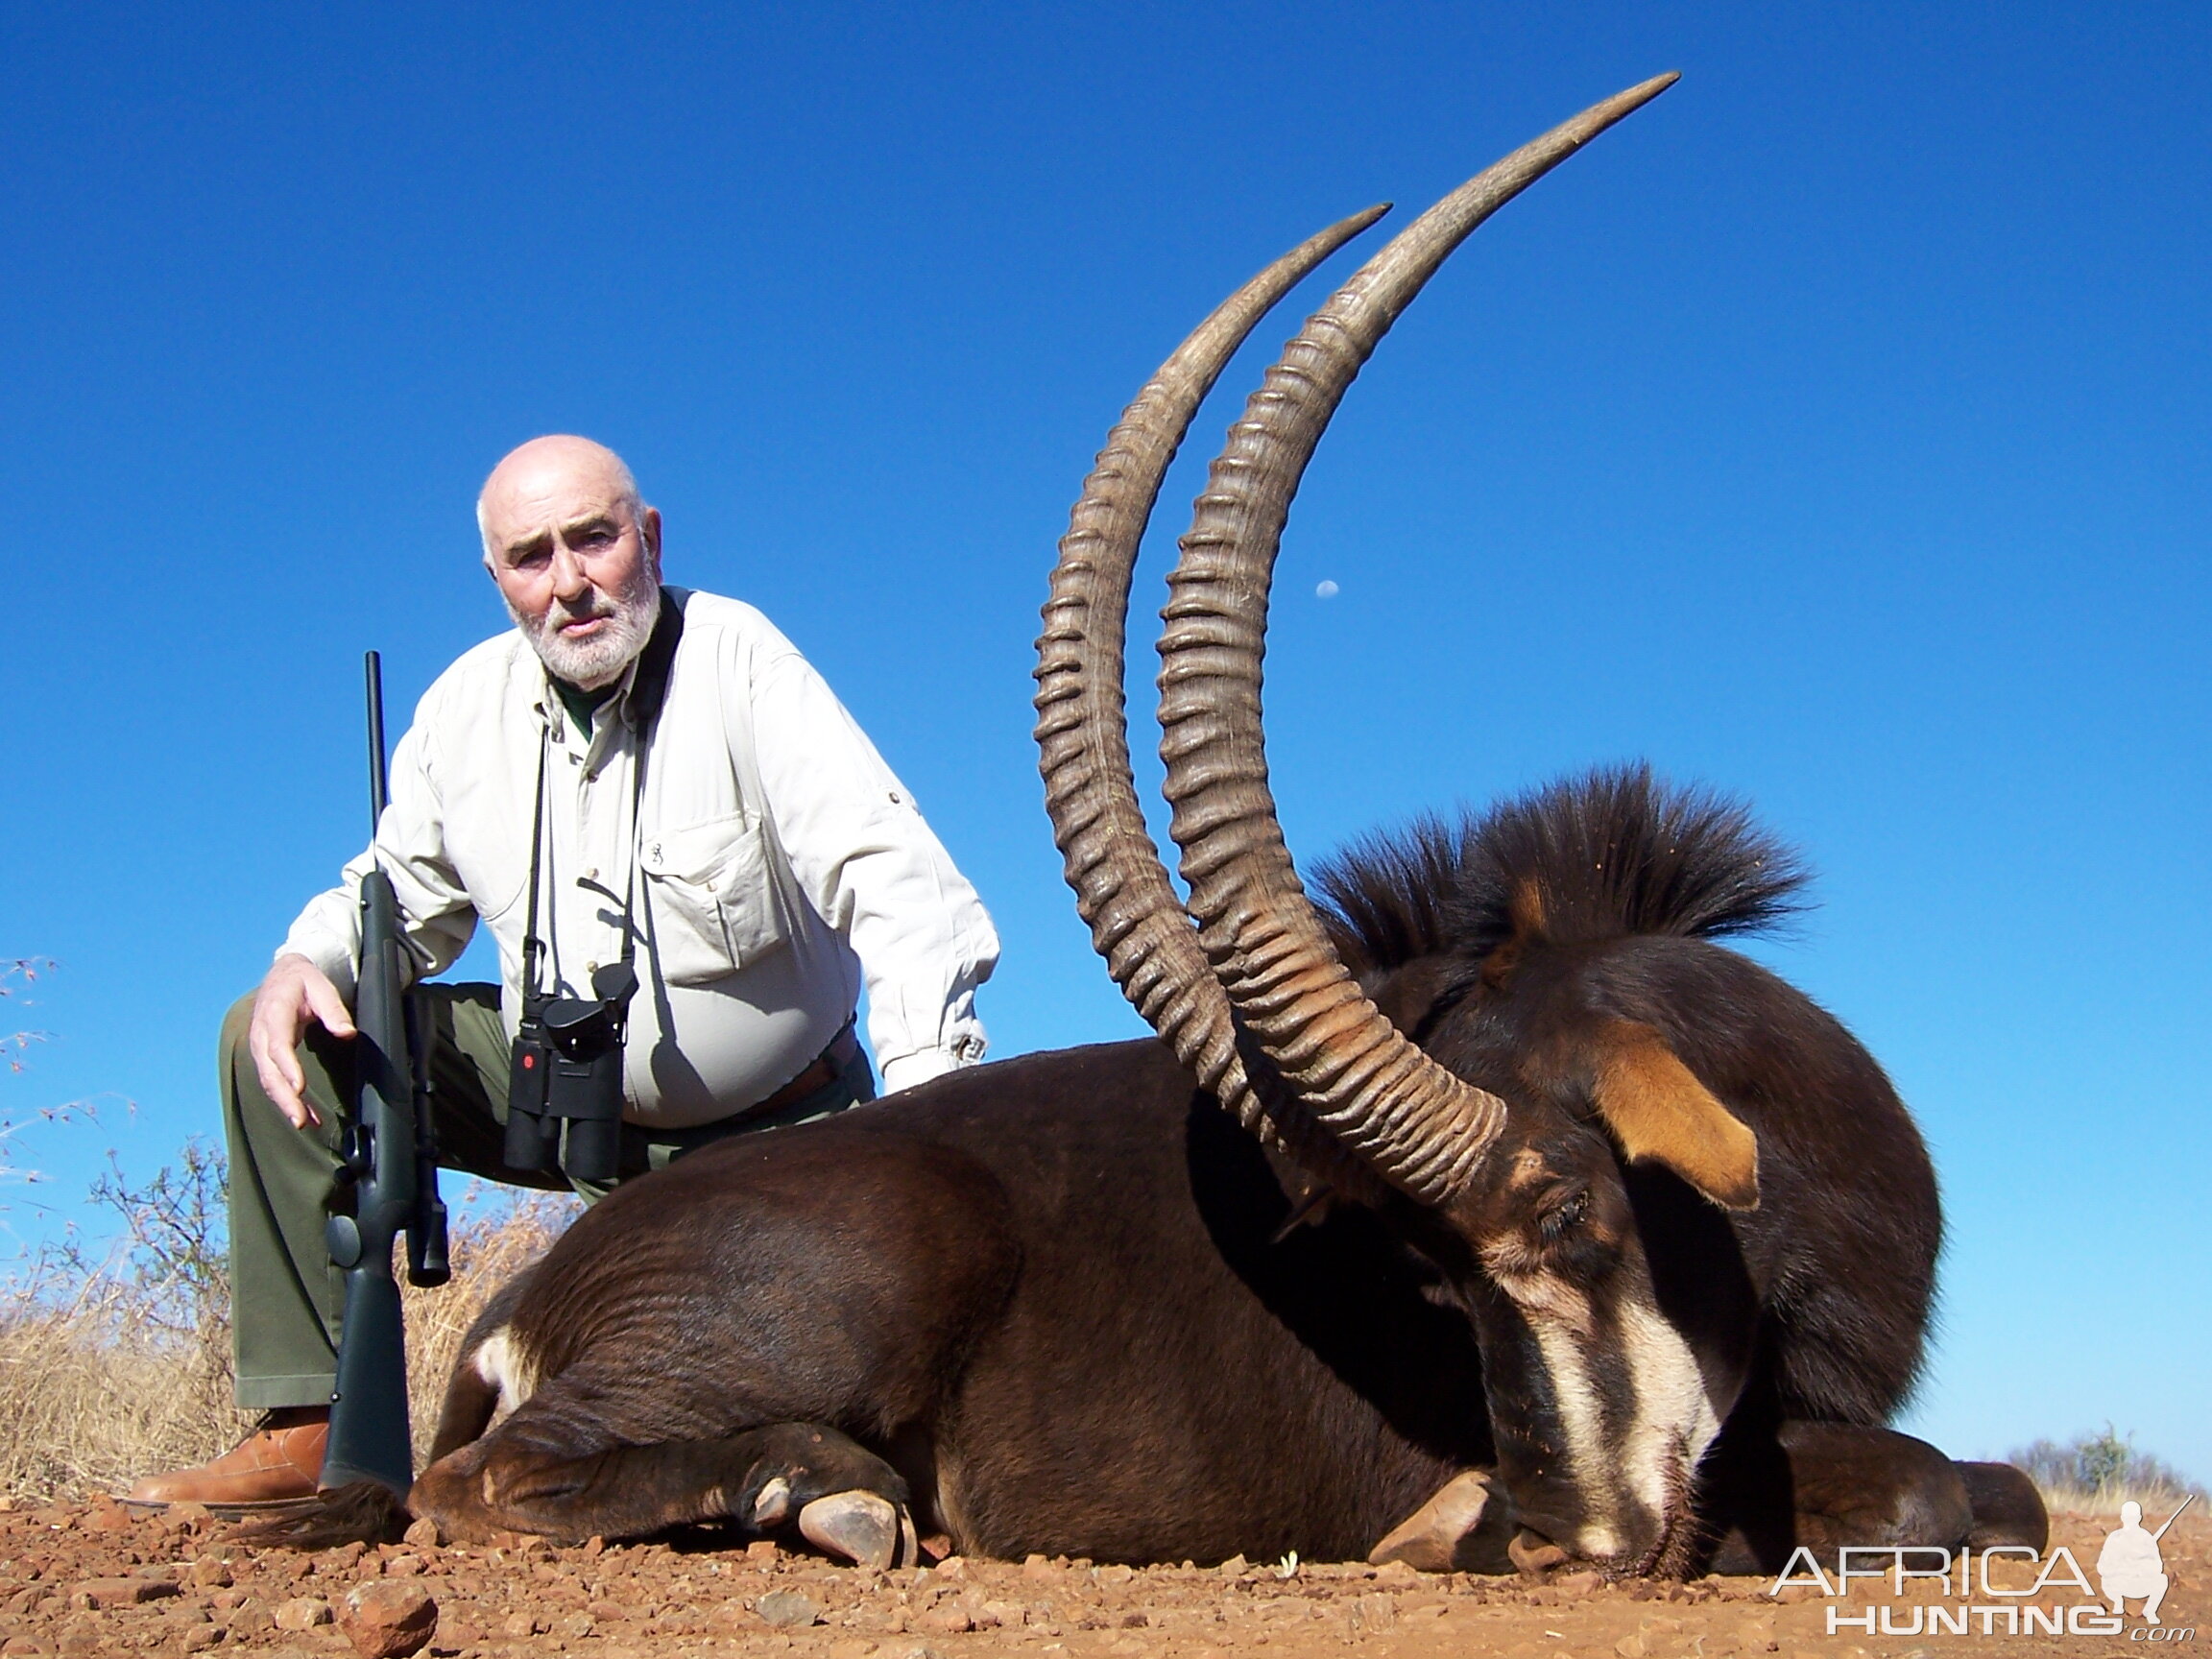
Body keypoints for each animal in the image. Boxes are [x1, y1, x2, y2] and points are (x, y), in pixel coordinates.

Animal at [285, 81, 2043, 1583]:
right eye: (1451, 1274)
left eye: (1561, 1222)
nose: (1555, 1543)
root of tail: (540, 1291)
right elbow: (1931, 1484)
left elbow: (2003, 1488)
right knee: (485, 1479)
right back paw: (819, 1487)